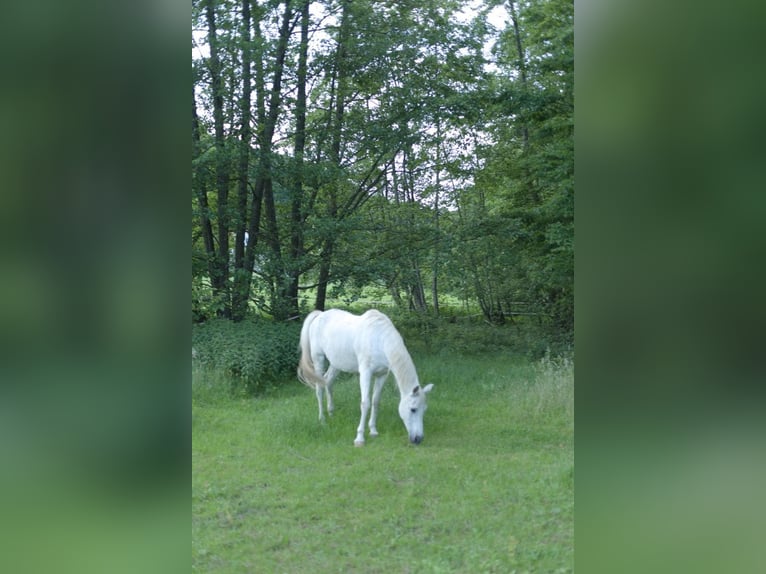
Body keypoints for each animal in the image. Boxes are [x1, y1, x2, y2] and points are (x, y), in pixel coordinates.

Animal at [297, 309, 434, 446]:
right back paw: (322, 420)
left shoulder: (381, 375)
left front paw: (373, 431)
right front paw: (359, 438)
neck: (379, 339)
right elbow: (365, 403)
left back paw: (331, 412)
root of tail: (320, 314)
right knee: (319, 388)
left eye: (424, 410)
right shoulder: (365, 373)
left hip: (336, 363)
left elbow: (375, 401)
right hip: (318, 359)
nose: (418, 439)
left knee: (328, 381)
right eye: (413, 409)